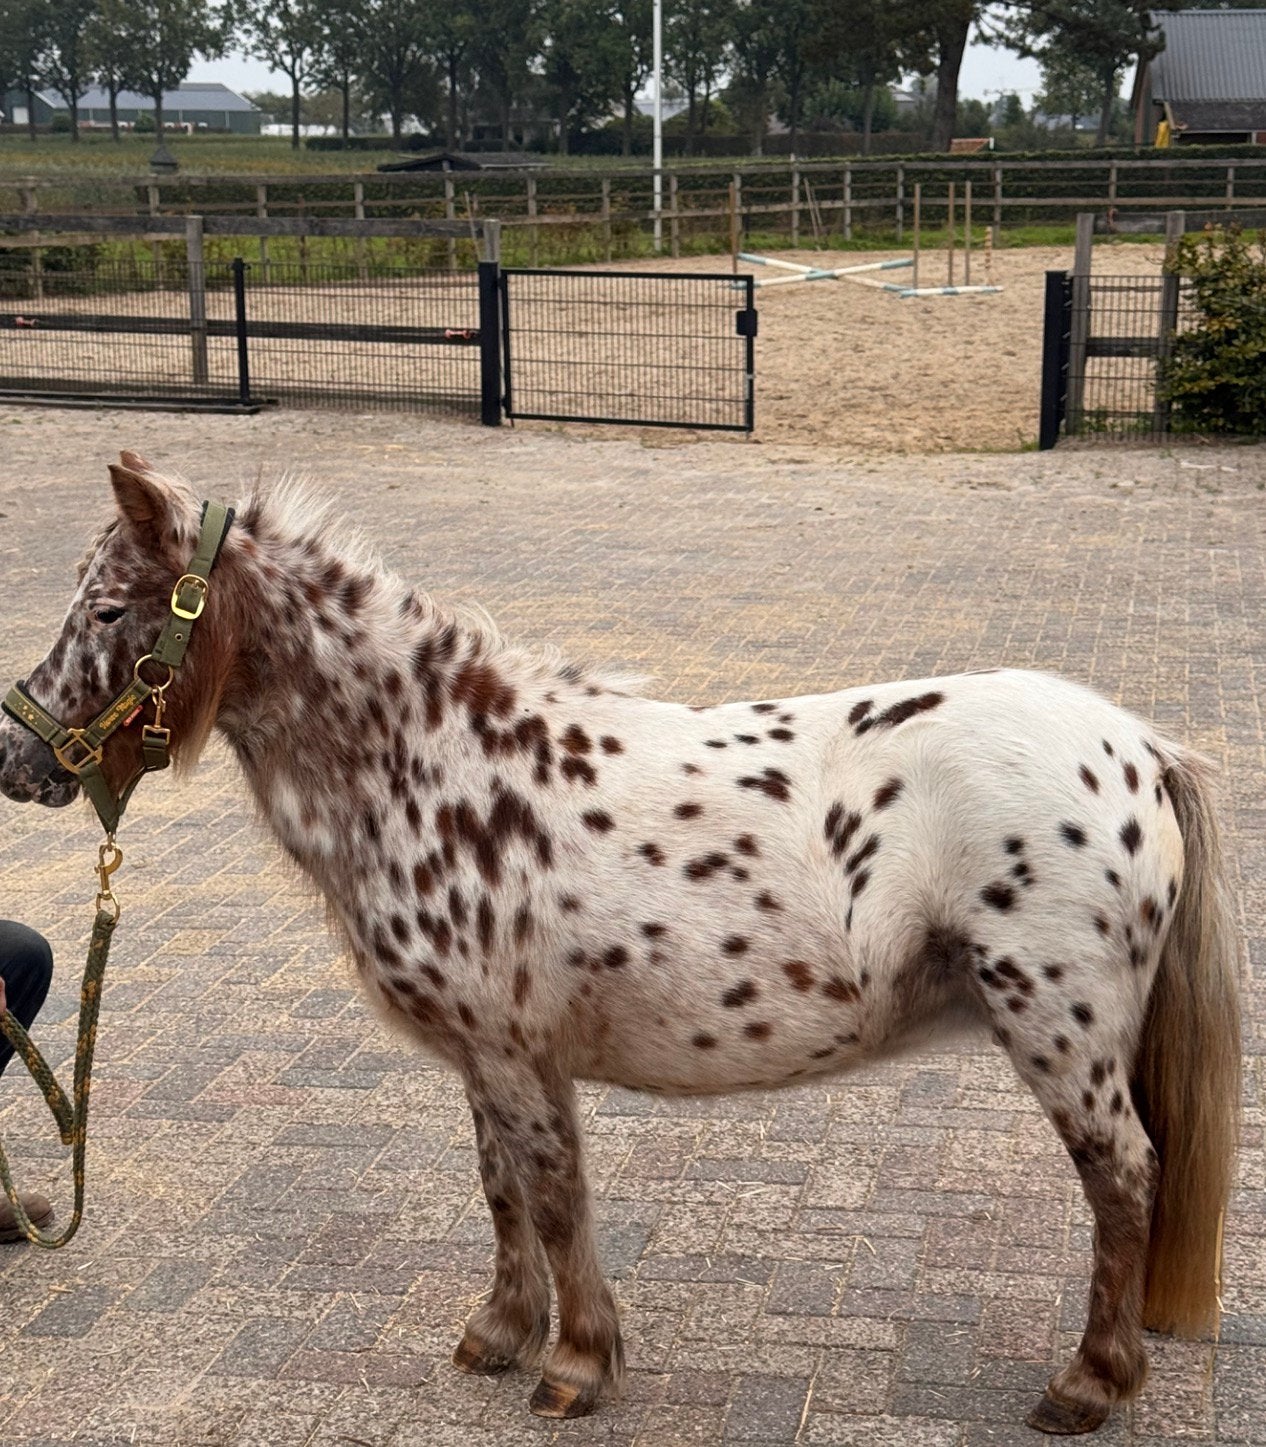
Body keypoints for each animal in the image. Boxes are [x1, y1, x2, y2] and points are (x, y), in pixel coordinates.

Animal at [0, 453, 1241, 1435]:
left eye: (108, 609)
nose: (19, 757)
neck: (432, 767)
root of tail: (1140, 746)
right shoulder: (490, 1058)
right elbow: (502, 1187)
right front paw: (501, 1330)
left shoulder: (514, 1053)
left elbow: (554, 1196)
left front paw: (577, 1362)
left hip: (1059, 1034)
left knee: (1124, 1179)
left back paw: (1089, 1383)